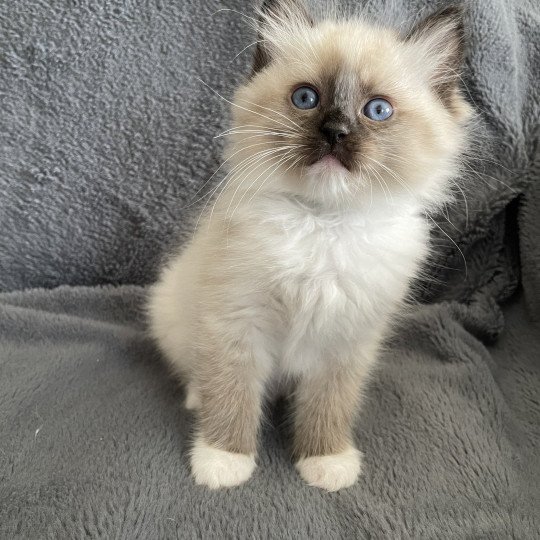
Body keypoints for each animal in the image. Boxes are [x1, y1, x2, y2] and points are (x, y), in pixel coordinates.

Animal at [147, 0, 468, 490]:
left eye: (377, 110)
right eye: (306, 98)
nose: (335, 131)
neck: (323, 222)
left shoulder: (346, 338)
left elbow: (328, 406)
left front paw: (325, 461)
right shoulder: (236, 323)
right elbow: (232, 393)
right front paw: (224, 460)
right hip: (173, 316)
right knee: (198, 374)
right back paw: (197, 398)